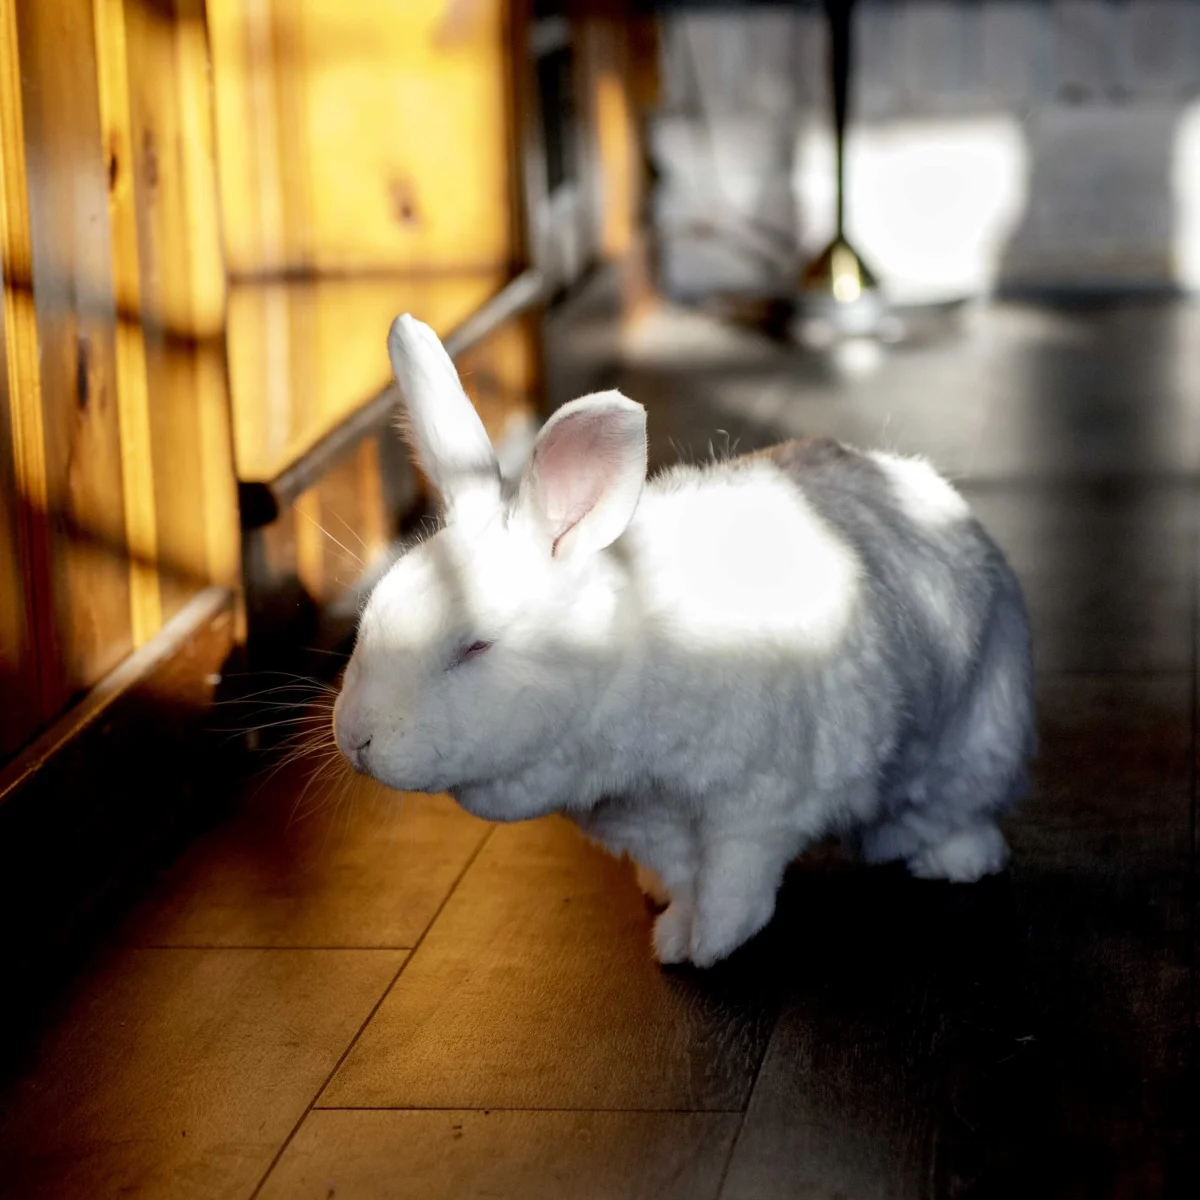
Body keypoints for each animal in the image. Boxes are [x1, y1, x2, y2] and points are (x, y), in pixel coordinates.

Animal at [333, 313, 1036, 968]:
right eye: (372, 617)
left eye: (475, 647)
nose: (357, 740)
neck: (626, 652)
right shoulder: (649, 820)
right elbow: (686, 875)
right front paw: (674, 935)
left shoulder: (757, 800)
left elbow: (734, 882)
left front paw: (710, 946)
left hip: (975, 742)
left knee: (956, 811)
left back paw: (958, 861)